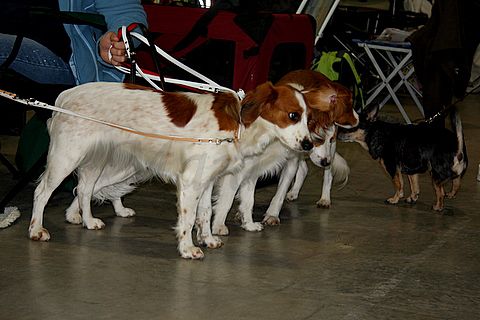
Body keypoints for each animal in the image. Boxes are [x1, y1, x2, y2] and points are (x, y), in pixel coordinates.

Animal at [31, 81, 316, 258]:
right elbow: (189, 219)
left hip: (96, 161)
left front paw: (208, 239)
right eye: (292, 115)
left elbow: (205, 213)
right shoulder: (191, 182)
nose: (308, 144)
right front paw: (188, 248)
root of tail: (65, 96)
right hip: (67, 157)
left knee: (85, 190)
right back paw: (36, 230)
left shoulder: (207, 180)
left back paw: (88, 221)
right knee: (42, 192)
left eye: (309, 118)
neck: (239, 123)